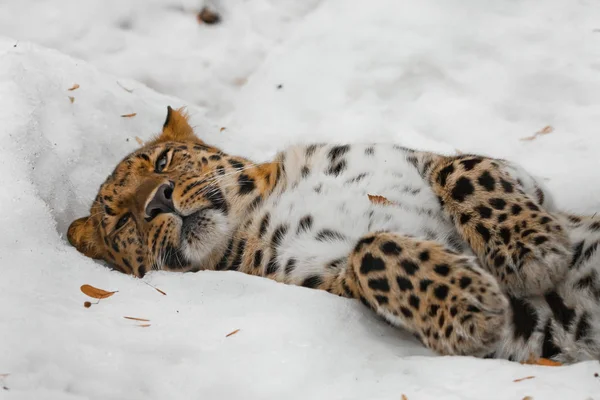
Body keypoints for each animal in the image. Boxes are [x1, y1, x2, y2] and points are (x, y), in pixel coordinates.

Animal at [68, 106, 600, 362]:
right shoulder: (327, 279)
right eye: (121, 219)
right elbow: (372, 249)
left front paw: (534, 250)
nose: (157, 200)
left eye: (162, 162)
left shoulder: (513, 179)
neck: (257, 205)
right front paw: (471, 305)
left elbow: (464, 170)